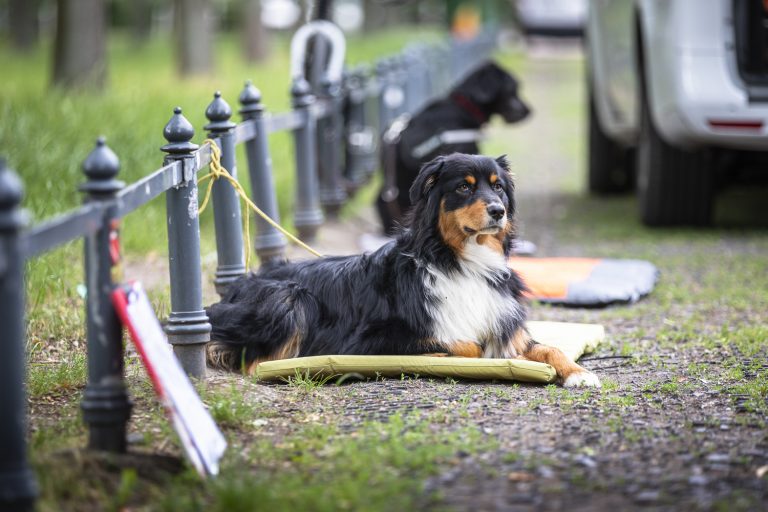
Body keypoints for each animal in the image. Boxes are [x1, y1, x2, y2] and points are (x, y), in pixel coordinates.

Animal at [206, 153, 600, 388]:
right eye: (463, 187)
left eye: (498, 186)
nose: (497, 211)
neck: (460, 261)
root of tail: (234, 287)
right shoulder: (369, 339)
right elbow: (467, 346)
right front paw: (448, 354)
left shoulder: (508, 328)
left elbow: (550, 349)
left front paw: (578, 373)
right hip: (290, 297)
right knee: (256, 362)